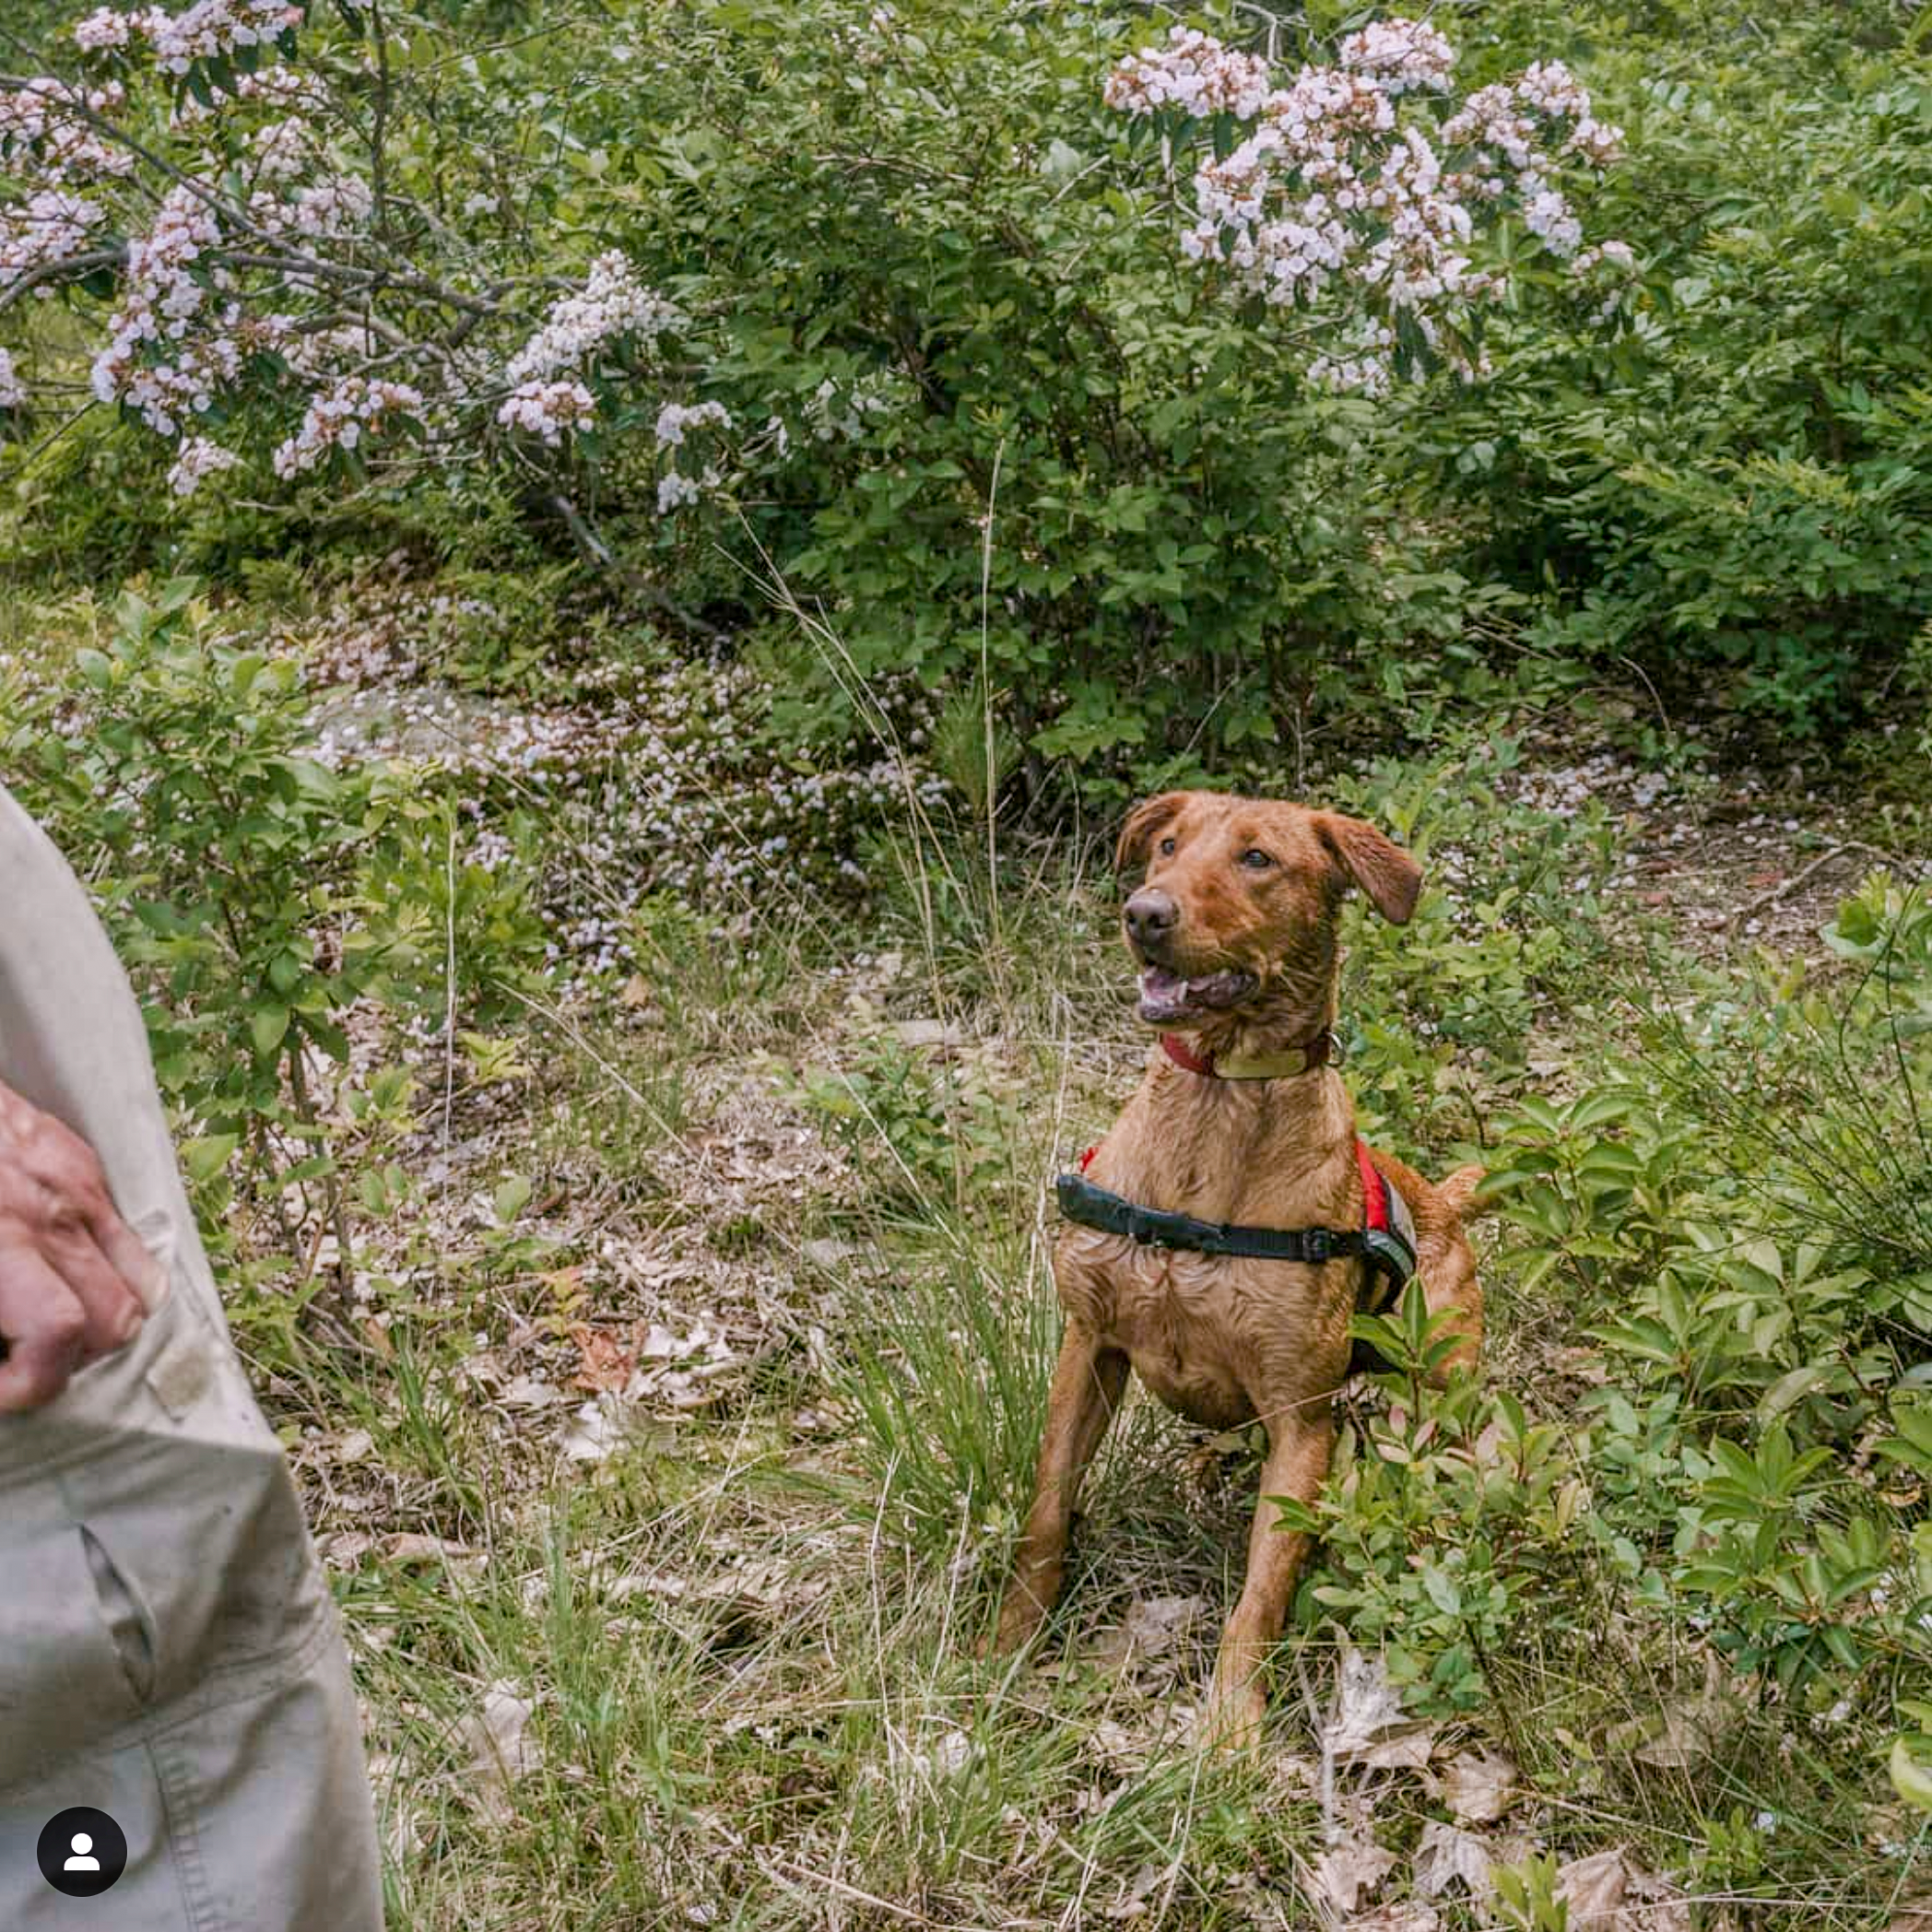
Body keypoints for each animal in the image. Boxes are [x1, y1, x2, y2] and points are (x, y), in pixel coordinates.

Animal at [996, 792, 1476, 1746]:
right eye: (1167, 846)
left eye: (1258, 859)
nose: (1144, 914)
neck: (1218, 1104)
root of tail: (1442, 1200)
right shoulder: (1090, 1346)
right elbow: (1046, 1511)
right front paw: (1007, 1645)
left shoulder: (1301, 1421)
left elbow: (1262, 1590)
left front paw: (1229, 1732)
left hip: (1440, 1387)